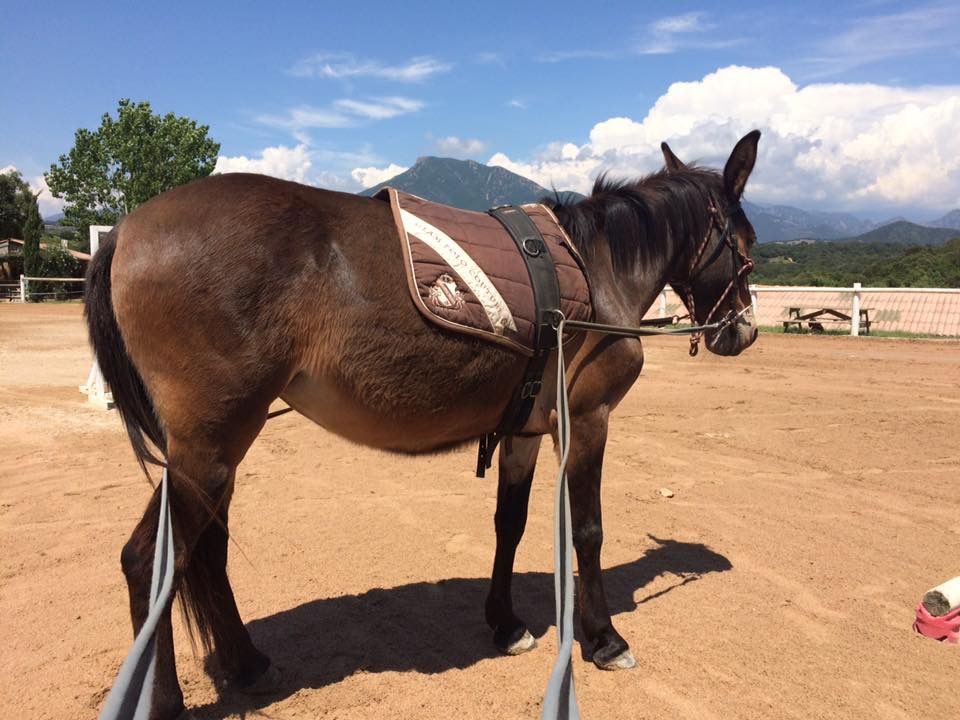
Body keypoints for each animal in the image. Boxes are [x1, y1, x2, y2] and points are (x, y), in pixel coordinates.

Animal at [86, 130, 761, 719]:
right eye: (747, 243)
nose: (744, 332)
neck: (592, 270)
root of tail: (125, 229)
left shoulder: (522, 430)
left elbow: (509, 524)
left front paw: (505, 623)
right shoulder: (589, 421)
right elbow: (588, 530)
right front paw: (603, 639)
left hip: (217, 451)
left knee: (208, 553)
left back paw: (249, 664)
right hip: (207, 450)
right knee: (149, 560)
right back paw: (164, 699)